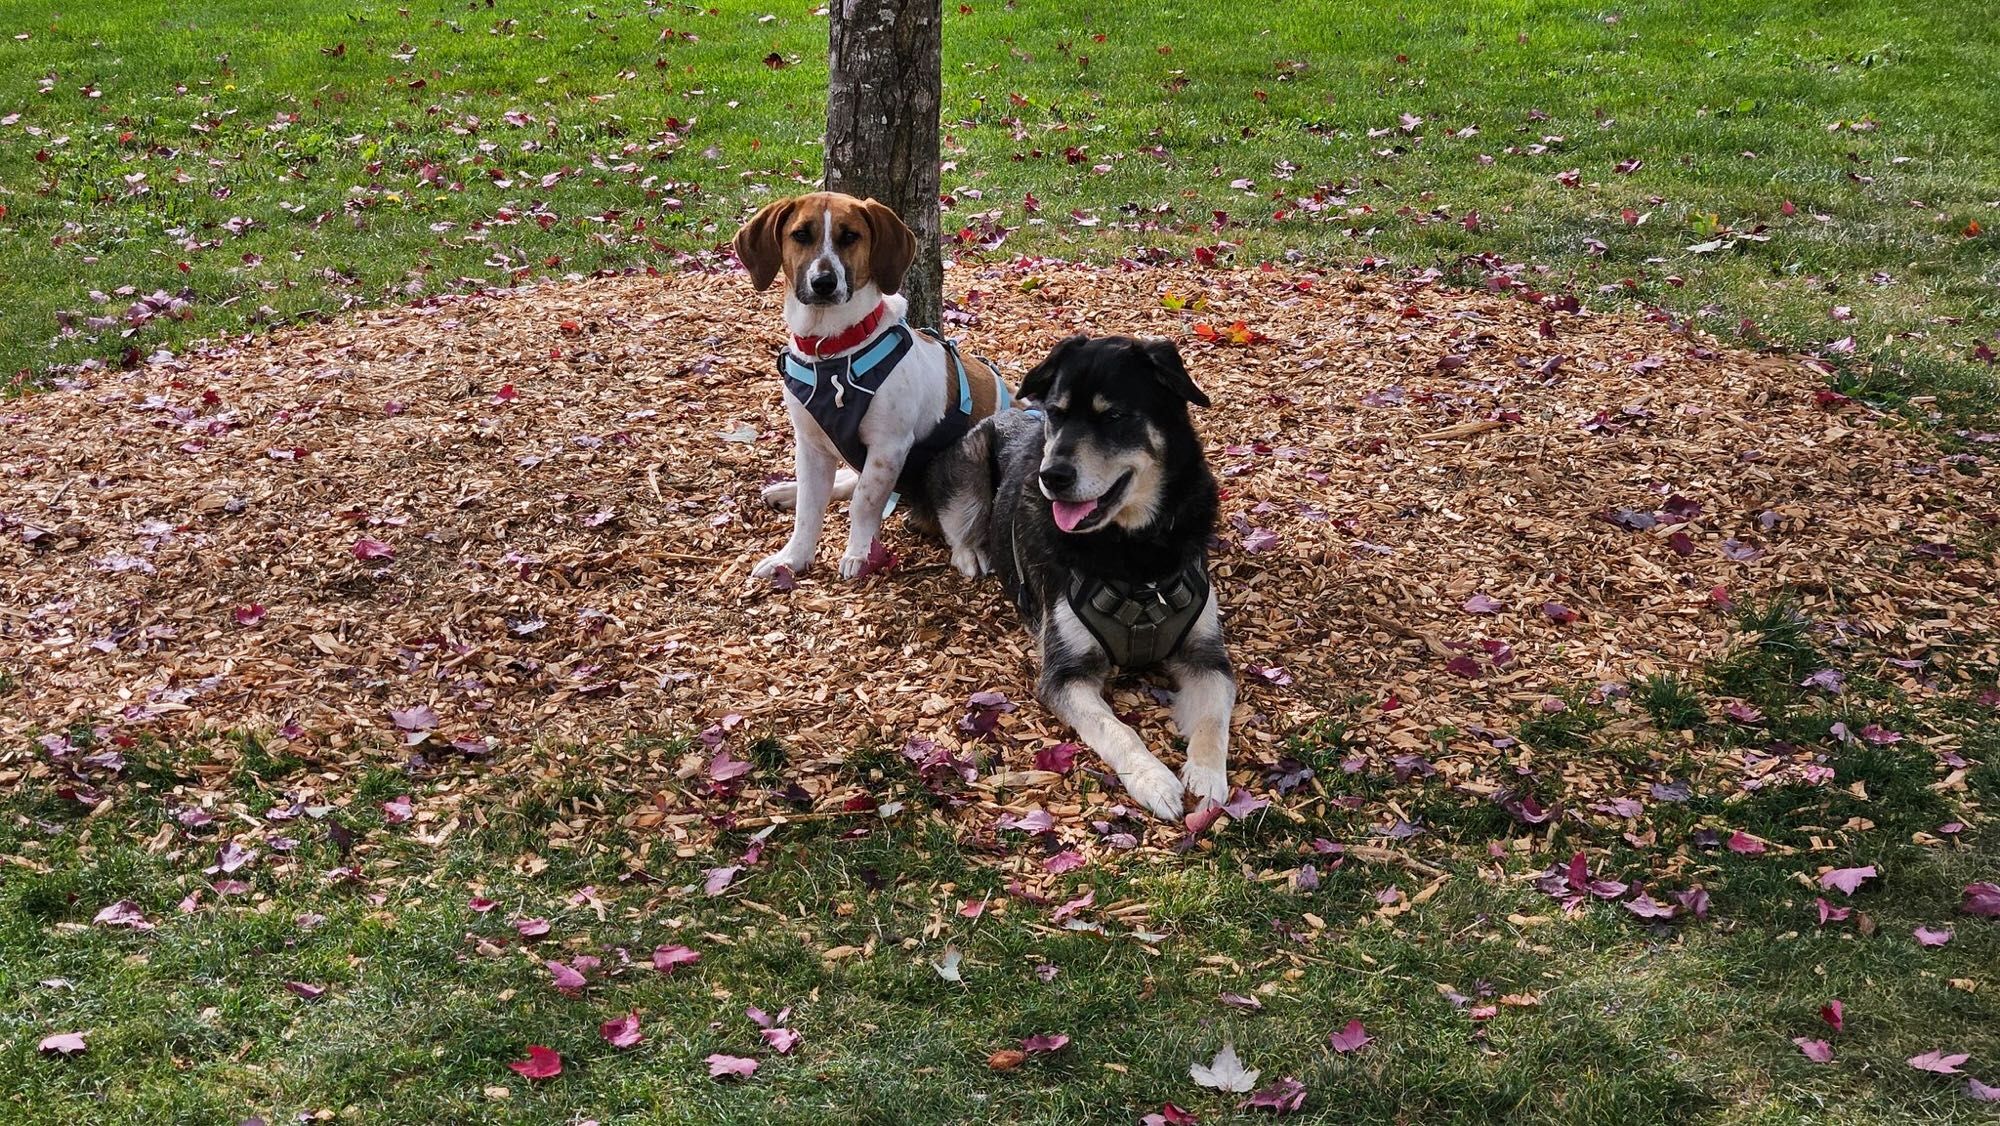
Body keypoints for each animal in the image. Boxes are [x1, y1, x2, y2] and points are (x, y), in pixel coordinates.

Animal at [736, 193, 1008, 580]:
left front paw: (859, 553)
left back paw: (967, 550)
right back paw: (787, 490)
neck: (832, 350)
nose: (823, 282)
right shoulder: (811, 444)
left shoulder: (887, 447)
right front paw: (792, 558)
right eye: (801, 235)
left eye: (850, 236)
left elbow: (864, 502)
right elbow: (809, 511)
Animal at [932, 334, 1232, 820]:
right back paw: (972, 553)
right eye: (1056, 413)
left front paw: (1206, 777)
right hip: (968, 467)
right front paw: (1154, 780)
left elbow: (1212, 717)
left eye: (1113, 416)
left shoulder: (1206, 656)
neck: (1135, 554)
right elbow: (1117, 729)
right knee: (957, 521)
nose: (1051, 476)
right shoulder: (1065, 673)